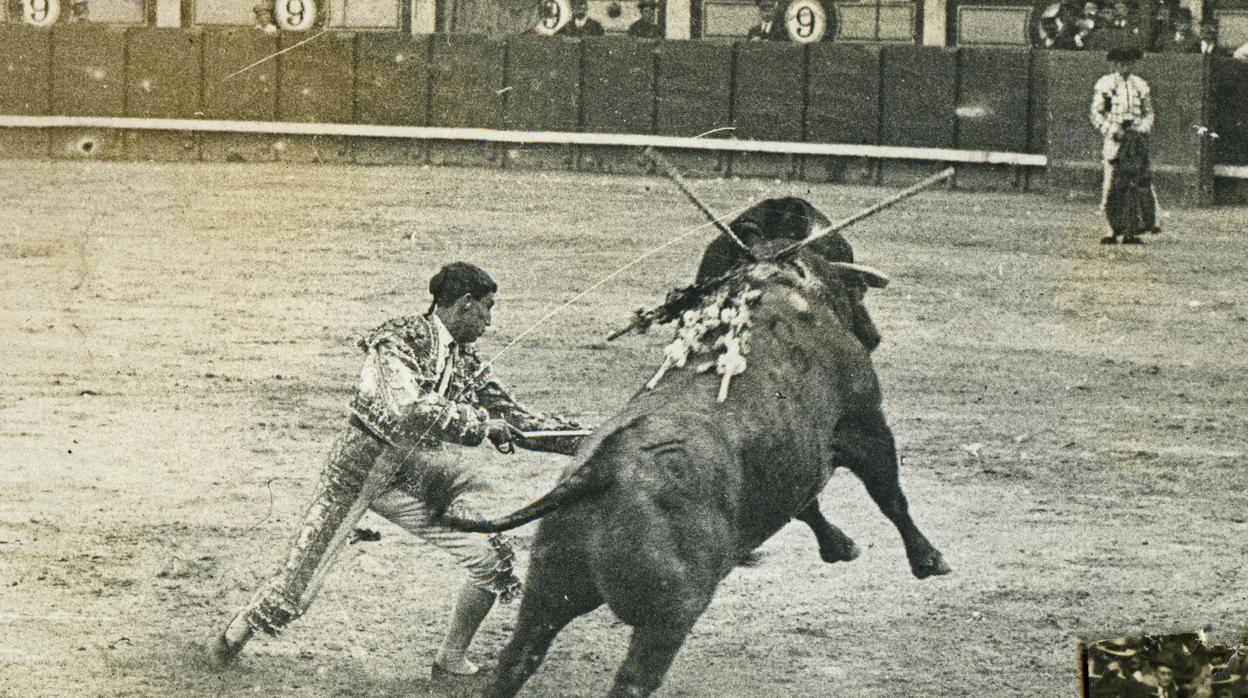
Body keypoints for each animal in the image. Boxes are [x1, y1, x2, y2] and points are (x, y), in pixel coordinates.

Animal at [439, 198, 943, 698]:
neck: (783, 282)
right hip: (669, 615)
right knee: (632, 681)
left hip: (546, 590)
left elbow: (809, 505)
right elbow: (889, 494)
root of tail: (601, 469)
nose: (873, 335)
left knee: (517, 658)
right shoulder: (865, 423)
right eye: (854, 282)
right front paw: (929, 560)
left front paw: (841, 545)